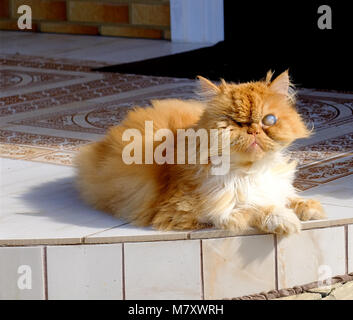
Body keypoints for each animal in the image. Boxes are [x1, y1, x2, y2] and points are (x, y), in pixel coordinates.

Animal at [75, 72, 324, 235]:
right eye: (234, 122)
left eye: (269, 120)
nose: (252, 130)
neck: (250, 171)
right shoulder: (192, 210)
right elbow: (255, 207)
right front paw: (285, 219)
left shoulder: (275, 187)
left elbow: (289, 198)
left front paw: (311, 209)